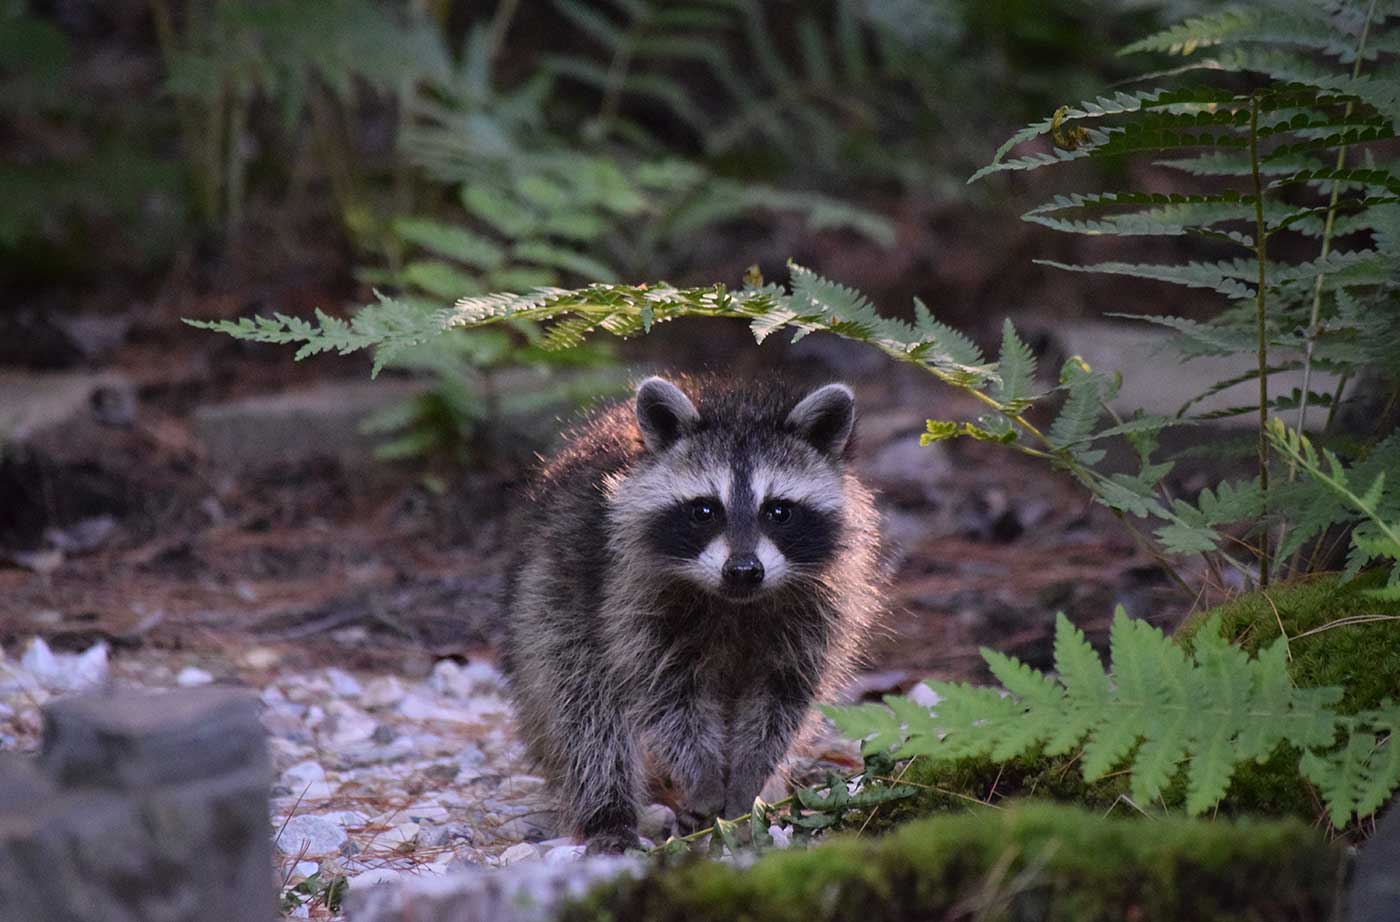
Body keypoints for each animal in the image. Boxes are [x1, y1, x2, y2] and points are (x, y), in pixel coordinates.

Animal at [501, 377, 873, 856]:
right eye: (704, 510)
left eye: (778, 511)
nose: (743, 570)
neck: (735, 602)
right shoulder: (628, 591)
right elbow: (662, 692)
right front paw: (703, 776)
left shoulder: (820, 606)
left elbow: (783, 695)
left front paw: (749, 777)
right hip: (551, 596)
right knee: (585, 711)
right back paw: (609, 813)